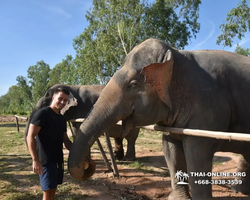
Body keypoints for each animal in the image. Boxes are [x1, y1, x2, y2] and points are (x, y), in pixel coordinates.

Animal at [68, 38, 250, 200]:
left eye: (133, 85)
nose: (87, 163)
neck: (178, 56)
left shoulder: (209, 106)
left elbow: (197, 152)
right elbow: (170, 150)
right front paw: (178, 199)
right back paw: (238, 191)